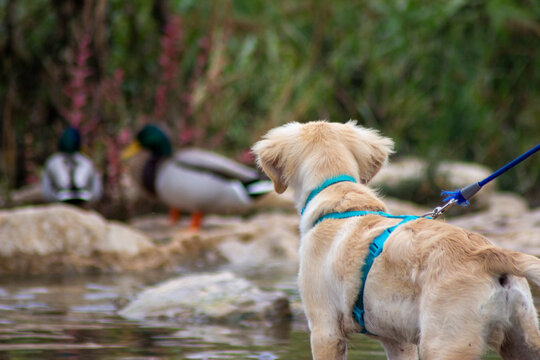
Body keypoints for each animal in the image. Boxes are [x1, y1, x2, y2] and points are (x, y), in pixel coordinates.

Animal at [252, 121, 540, 360]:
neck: (340, 194)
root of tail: (490, 254)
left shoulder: (325, 329)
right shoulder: (397, 340)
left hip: (445, 343)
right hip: (523, 340)